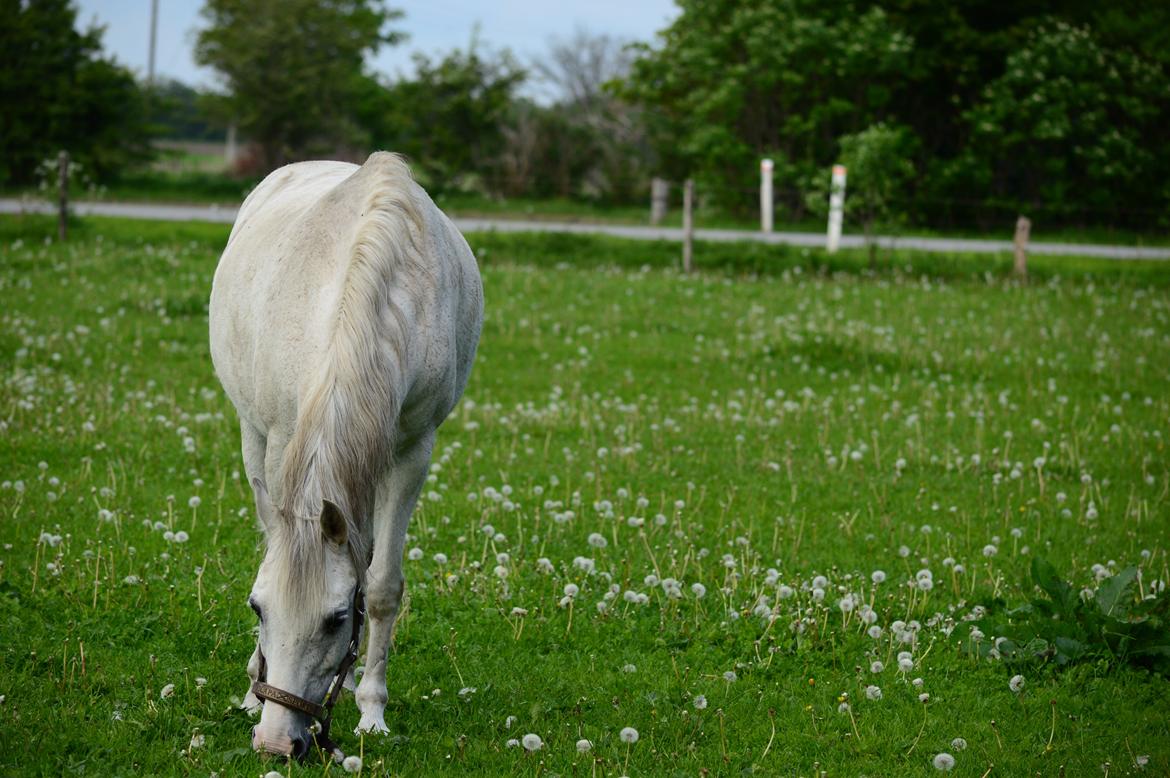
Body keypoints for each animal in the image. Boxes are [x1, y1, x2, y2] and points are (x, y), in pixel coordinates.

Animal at [208, 153, 482, 758]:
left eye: (336, 619)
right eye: (257, 608)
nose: (276, 744)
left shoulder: (411, 451)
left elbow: (380, 586)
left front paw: (372, 711)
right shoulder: (285, 441)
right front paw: (254, 687)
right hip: (252, 435)